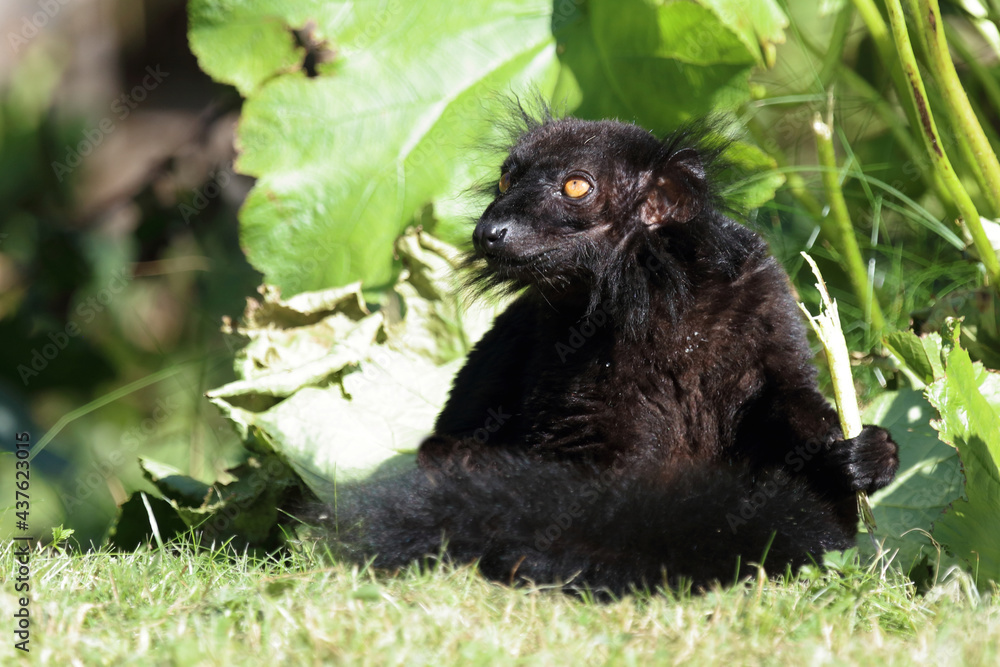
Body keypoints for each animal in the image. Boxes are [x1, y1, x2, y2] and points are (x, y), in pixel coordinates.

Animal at [319, 110, 899, 594]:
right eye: (506, 180)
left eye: (576, 185)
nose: (489, 232)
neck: (654, 291)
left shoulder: (762, 298)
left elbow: (787, 398)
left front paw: (865, 457)